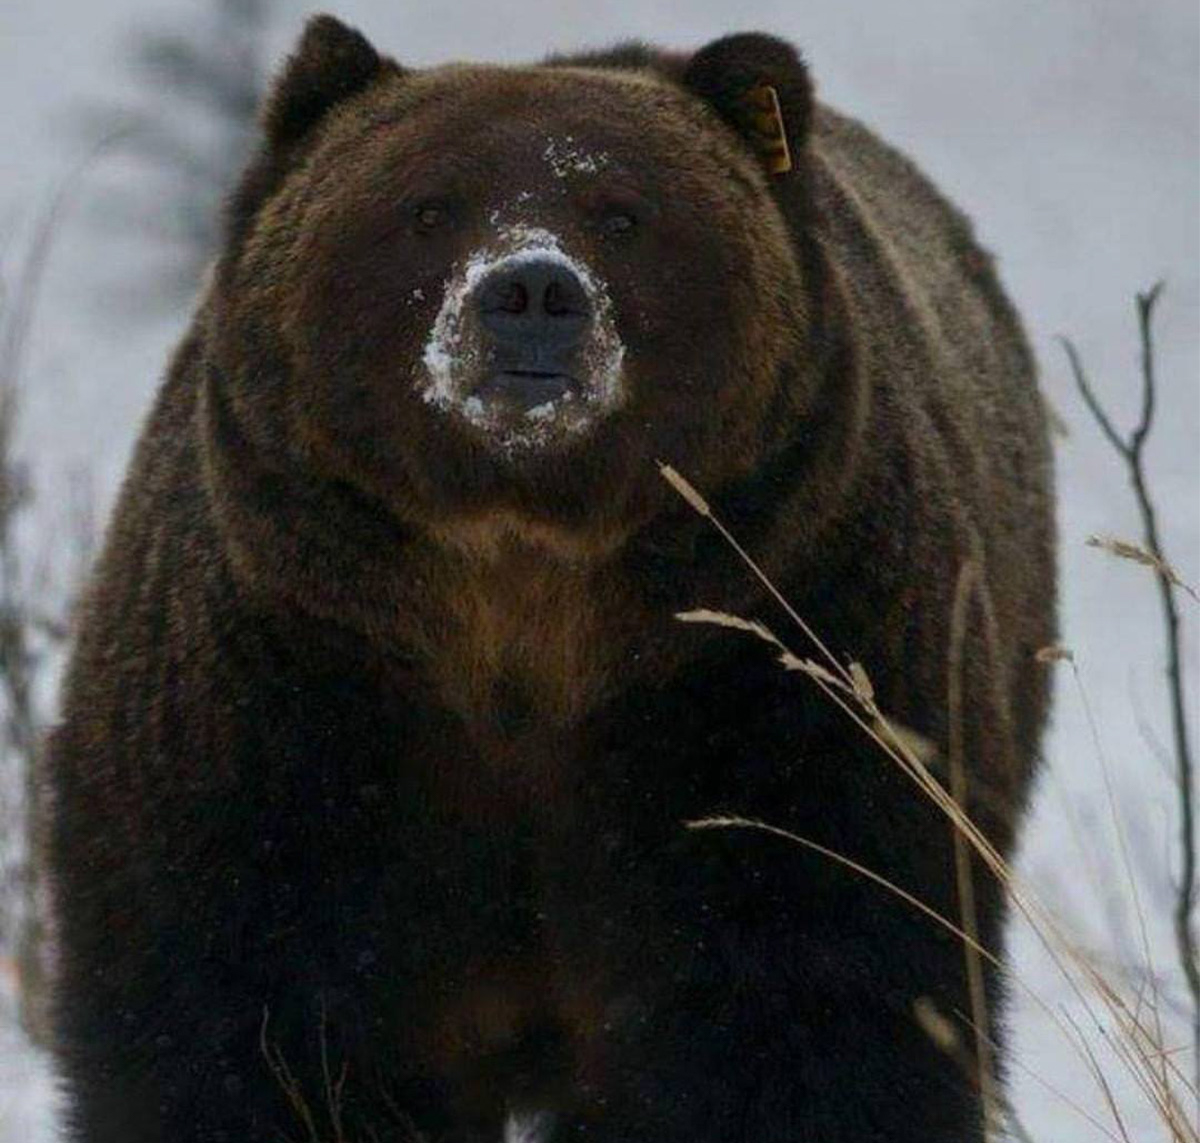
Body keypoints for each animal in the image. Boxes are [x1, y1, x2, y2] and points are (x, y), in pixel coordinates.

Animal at [46, 13, 1056, 1138]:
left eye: (622, 212)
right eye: (426, 205)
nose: (532, 290)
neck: (519, 588)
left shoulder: (776, 679)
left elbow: (805, 1017)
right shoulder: (283, 703)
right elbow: (250, 1028)